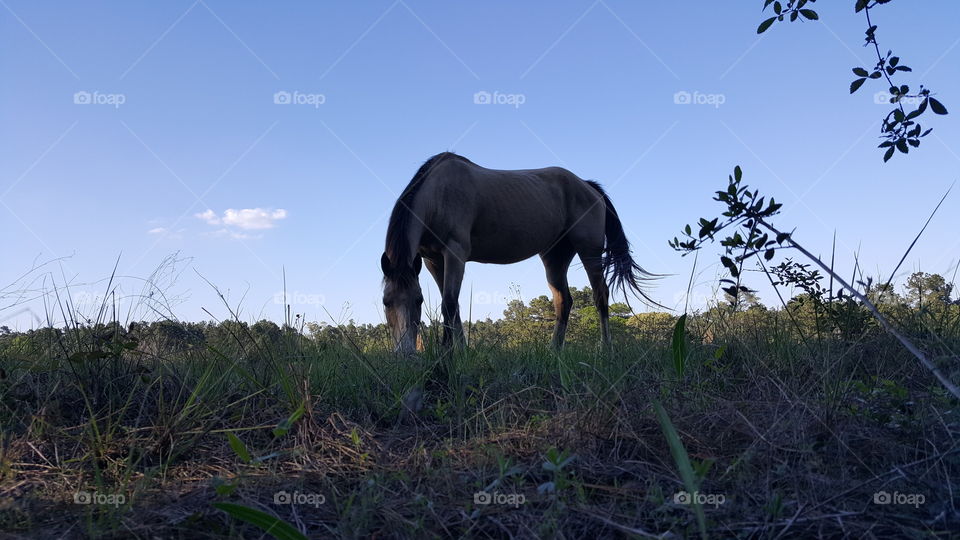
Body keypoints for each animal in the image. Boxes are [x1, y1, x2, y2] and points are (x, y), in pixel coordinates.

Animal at [380, 152, 656, 354]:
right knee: (563, 301)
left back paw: (605, 349)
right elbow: (454, 305)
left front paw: (447, 354)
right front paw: (462, 352)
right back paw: (554, 351)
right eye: (386, 302)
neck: (439, 193)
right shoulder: (433, 261)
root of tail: (588, 186)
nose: (405, 353)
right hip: (555, 257)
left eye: (418, 301)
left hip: (589, 251)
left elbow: (448, 304)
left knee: (600, 295)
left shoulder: (455, 253)